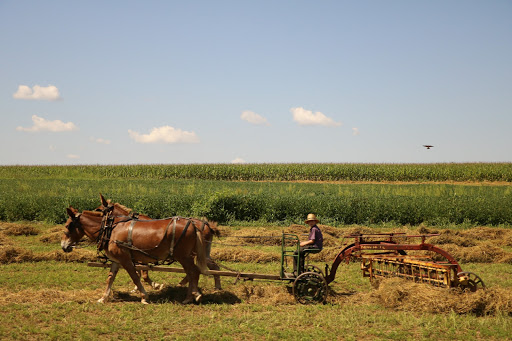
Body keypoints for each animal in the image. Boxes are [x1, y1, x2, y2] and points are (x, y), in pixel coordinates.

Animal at [61, 206, 208, 302]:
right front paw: (103, 298)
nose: (63, 245)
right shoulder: (116, 260)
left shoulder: (125, 259)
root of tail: (193, 224)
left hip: (183, 256)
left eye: (68, 226)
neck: (110, 229)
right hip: (185, 257)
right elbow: (110, 279)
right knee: (192, 272)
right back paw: (191, 295)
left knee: (194, 272)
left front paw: (144, 296)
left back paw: (193, 295)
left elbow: (135, 277)